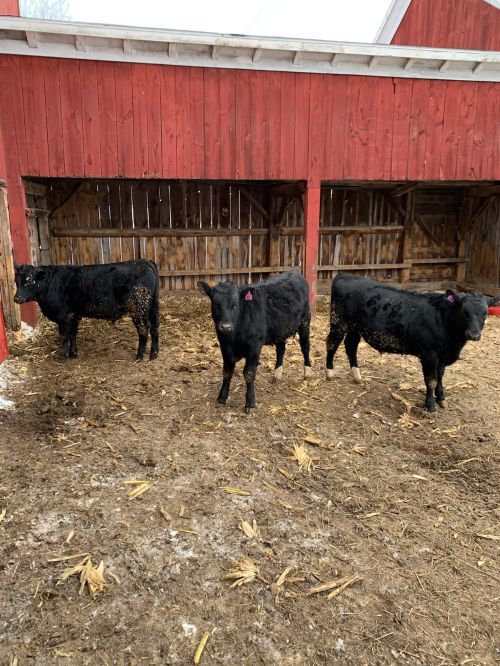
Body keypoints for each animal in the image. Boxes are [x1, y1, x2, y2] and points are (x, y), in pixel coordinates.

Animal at [14, 260, 160, 361]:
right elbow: (73, 334)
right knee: (154, 327)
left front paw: (63, 356)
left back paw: (139, 356)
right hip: (153, 307)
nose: (17, 298)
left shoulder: (63, 317)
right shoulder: (73, 316)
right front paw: (73, 354)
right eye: (16, 281)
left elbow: (64, 336)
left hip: (138, 309)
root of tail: (144, 261)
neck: (51, 284)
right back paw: (154, 354)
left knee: (144, 329)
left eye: (29, 281)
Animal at [198, 271, 312, 413]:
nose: (225, 326)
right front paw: (222, 397)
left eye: (235, 305)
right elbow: (227, 372)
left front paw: (250, 402)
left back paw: (307, 372)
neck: (234, 337)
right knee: (281, 349)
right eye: (216, 304)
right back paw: (277, 374)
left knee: (305, 347)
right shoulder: (225, 347)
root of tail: (293, 272)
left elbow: (249, 373)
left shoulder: (254, 347)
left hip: (305, 321)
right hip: (280, 329)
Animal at [325, 273, 489, 412]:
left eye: (485, 314)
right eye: (464, 312)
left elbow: (440, 376)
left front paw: (441, 398)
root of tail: (345, 275)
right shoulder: (429, 355)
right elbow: (431, 380)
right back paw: (330, 373)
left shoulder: (442, 355)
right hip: (338, 322)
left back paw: (357, 376)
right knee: (332, 344)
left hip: (355, 327)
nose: (474, 334)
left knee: (351, 345)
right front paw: (430, 405)